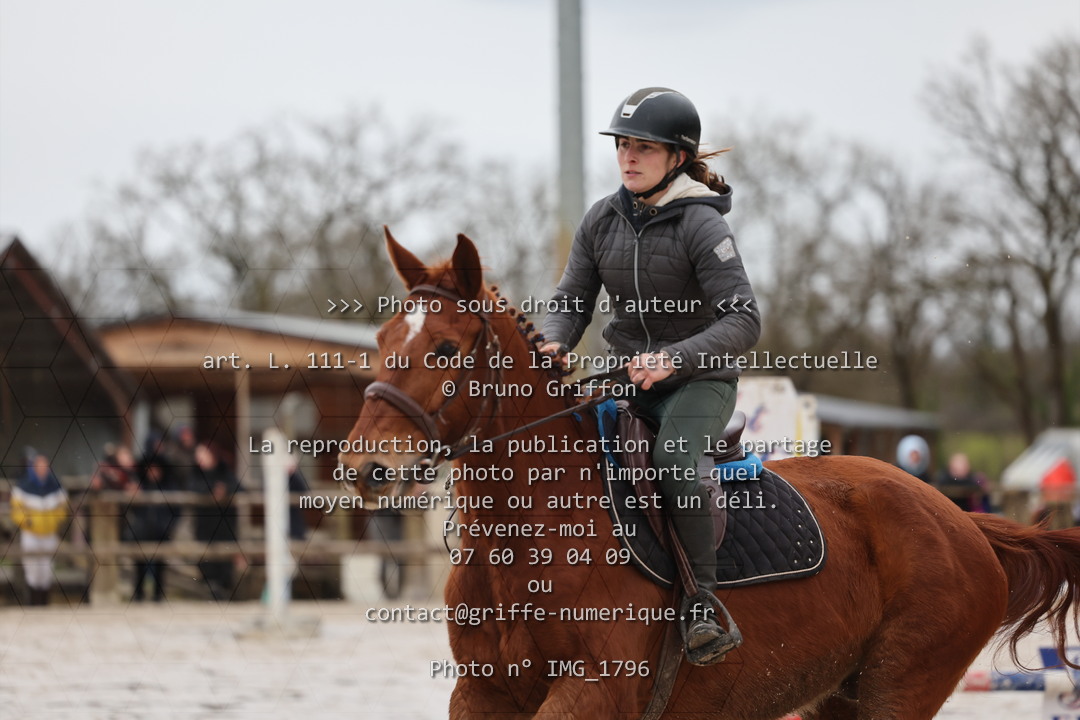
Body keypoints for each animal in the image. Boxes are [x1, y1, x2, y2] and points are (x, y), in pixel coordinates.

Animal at [339, 229, 1080, 719]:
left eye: (444, 348)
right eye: (380, 341)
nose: (363, 466)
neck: (528, 538)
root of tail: (964, 523)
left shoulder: (592, 690)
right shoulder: (482, 693)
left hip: (898, 689)